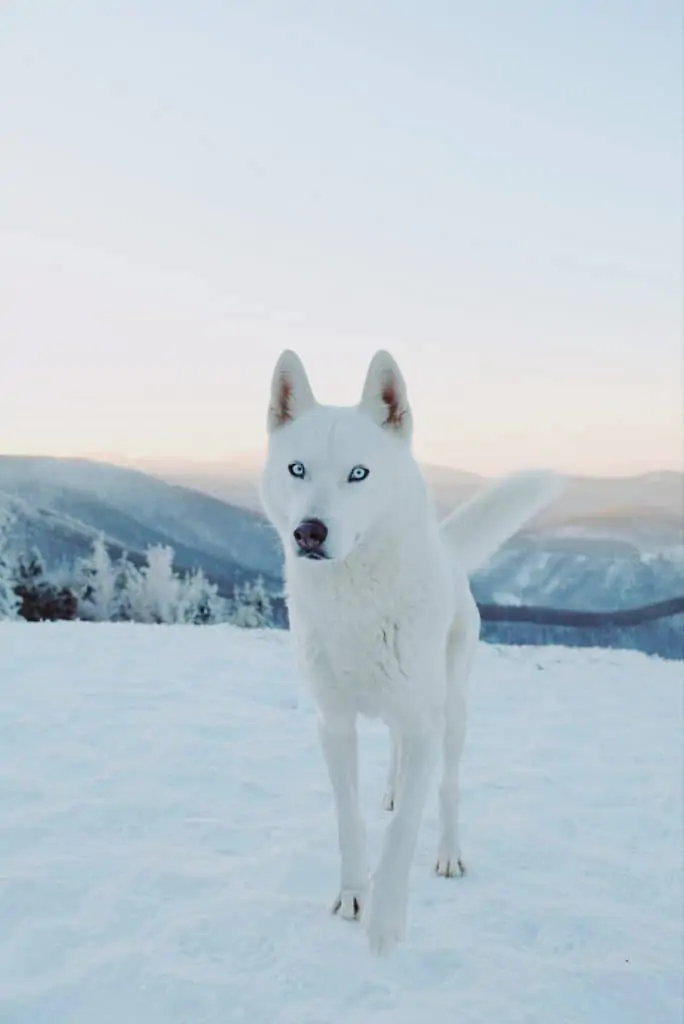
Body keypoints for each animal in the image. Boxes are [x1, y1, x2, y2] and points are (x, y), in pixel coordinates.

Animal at [259, 350, 565, 950]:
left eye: (358, 473)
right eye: (297, 469)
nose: (309, 532)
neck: (355, 601)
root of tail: (449, 552)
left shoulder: (424, 723)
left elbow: (403, 832)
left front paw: (385, 926)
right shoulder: (333, 723)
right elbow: (349, 817)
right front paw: (354, 895)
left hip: (453, 712)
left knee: (447, 787)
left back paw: (447, 853)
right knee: (397, 761)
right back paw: (393, 791)